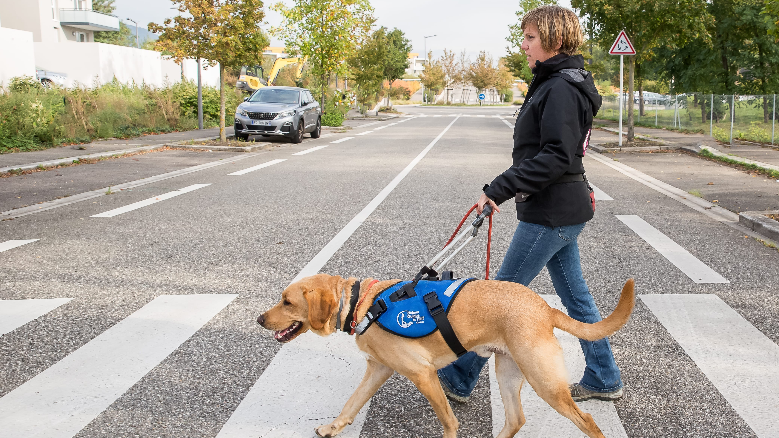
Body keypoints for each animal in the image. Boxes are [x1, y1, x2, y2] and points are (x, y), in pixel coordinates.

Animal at [258, 276, 632, 436]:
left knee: (587, 421)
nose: (260, 319)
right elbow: (351, 404)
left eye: (287, 302)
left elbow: (449, 422)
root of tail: (545, 307)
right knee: (515, 419)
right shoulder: (378, 370)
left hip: (546, 384)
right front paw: (332, 428)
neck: (363, 304)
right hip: (508, 374)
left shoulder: (422, 375)